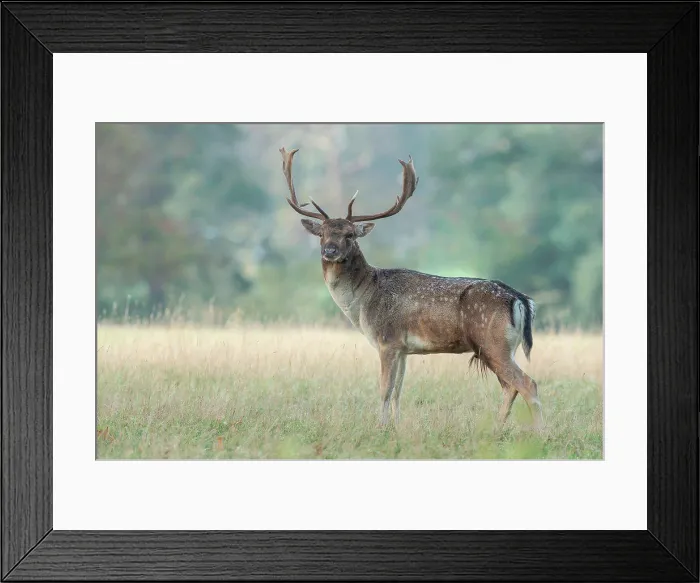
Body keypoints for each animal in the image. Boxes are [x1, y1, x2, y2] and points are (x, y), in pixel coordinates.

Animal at [279, 146, 543, 431]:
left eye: (350, 234)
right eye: (322, 234)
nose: (330, 251)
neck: (362, 302)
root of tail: (520, 299)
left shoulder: (387, 340)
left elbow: (384, 389)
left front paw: (380, 428)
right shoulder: (404, 349)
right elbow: (398, 391)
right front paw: (397, 427)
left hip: (492, 341)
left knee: (527, 384)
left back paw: (540, 432)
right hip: (504, 347)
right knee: (510, 387)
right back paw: (495, 429)